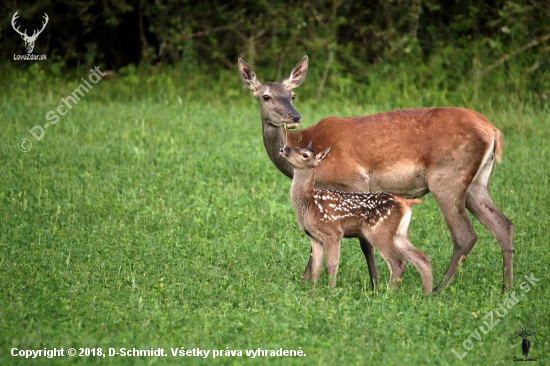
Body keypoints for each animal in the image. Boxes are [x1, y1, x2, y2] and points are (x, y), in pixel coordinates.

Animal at [239, 55, 516, 292]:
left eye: (293, 95)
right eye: (266, 96)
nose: (294, 116)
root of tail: (492, 130)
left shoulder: (355, 181)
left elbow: (362, 241)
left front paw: (373, 284)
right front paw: (307, 280)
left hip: (447, 177)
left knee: (465, 235)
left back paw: (439, 289)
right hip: (476, 182)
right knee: (503, 224)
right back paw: (506, 287)